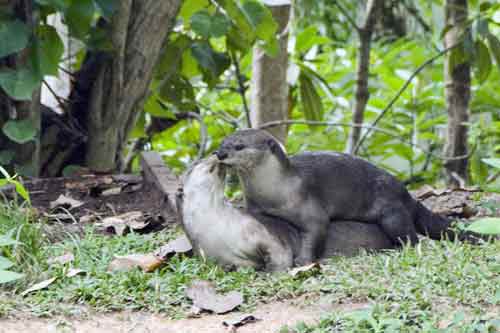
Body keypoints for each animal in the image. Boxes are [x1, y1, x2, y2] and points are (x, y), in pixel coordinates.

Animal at [215, 128, 458, 264]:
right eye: (222, 142)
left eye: (239, 146)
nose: (220, 153)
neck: (274, 192)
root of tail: (405, 192)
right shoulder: (255, 205)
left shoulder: (310, 207)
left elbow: (317, 230)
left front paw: (304, 260)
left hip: (391, 209)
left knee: (409, 235)